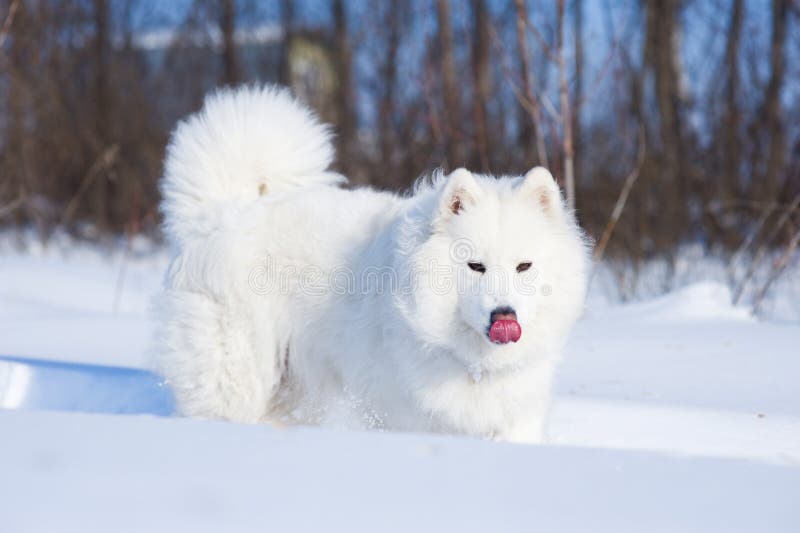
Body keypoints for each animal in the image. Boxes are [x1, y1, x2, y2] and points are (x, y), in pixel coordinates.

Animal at [156, 84, 592, 440]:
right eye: (476, 266)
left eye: (524, 267)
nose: (504, 315)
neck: (472, 361)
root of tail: (221, 211)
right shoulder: (409, 416)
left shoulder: (515, 420)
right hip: (237, 373)